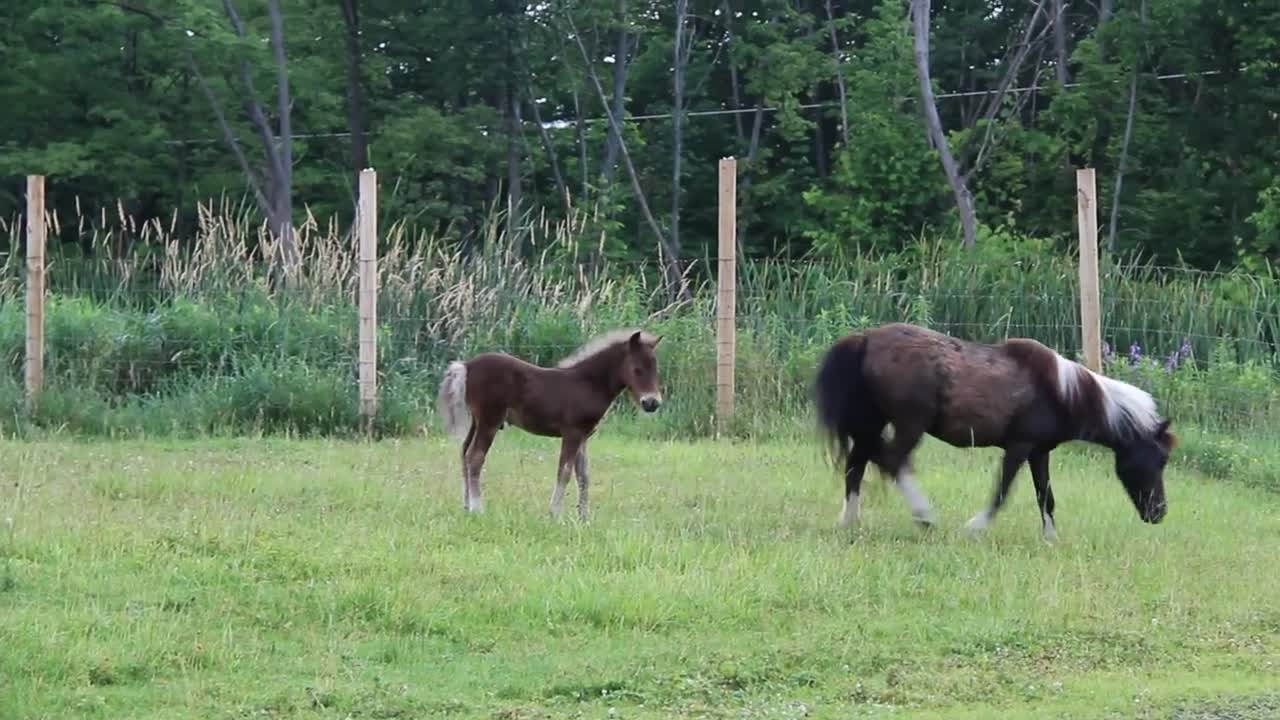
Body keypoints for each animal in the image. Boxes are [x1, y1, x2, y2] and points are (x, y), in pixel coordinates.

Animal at [814, 322, 1172, 535]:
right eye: (1157, 460)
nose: (1159, 513)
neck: (1061, 390)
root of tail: (865, 339)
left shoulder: (1039, 452)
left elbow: (1045, 497)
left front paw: (1051, 538)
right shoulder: (1019, 447)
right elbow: (1002, 491)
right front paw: (975, 527)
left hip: (876, 422)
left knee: (858, 462)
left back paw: (849, 521)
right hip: (909, 426)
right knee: (890, 460)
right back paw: (924, 515)